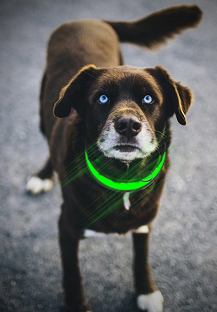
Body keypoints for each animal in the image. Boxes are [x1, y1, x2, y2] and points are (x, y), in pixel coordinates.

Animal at [26, 4, 202, 312]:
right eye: (102, 98)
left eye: (148, 99)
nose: (128, 125)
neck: (122, 174)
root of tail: (89, 19)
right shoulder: (67, 226)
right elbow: (72, 273)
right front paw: (76, 305)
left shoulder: (144, 221)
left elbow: (141, 256)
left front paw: (146, 291)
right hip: (44, 108)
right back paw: (44, 175)